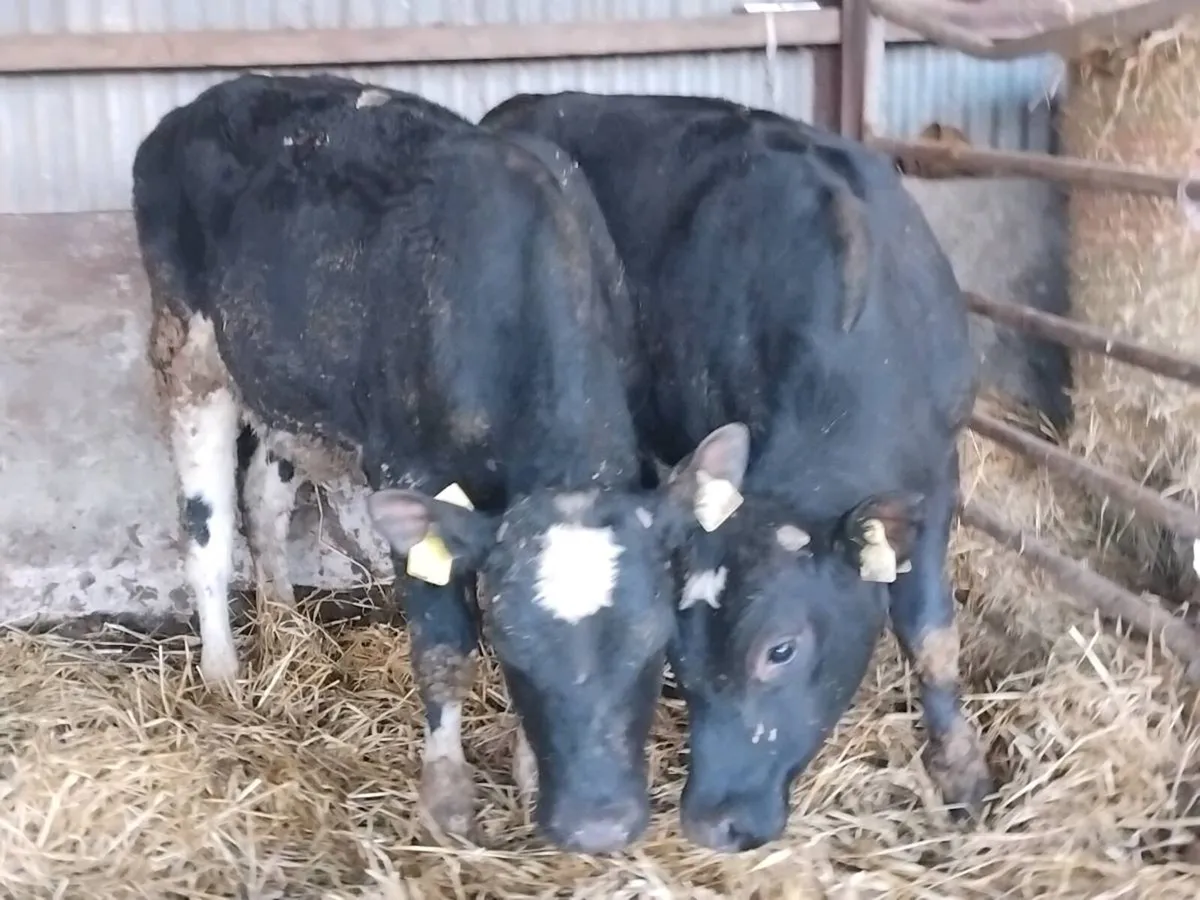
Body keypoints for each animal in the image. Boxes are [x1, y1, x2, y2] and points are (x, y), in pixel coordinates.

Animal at [132, 75, 750, 853]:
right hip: (187, 352)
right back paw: (223, 677)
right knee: (206, 531)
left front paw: (527, 772)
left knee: (264, 499)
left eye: (657, 638)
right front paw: (448, 792)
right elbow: (442, 643)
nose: (599, 824)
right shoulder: (410, 475)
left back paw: (284, 627)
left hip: (289, 387)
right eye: (514, 645)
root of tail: (202, 103)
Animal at [481, 91, 996, 851]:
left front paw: (961, 770)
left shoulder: (938, 476)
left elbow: (932, 635)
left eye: (780, 651)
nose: (709, 822)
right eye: (681, 658)